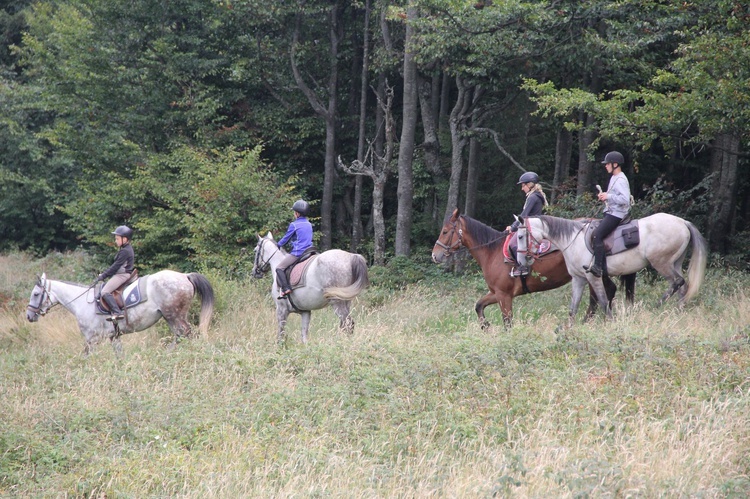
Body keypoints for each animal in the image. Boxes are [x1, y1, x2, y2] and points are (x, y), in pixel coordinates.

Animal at [26, 270, 214, 356]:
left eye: (35, 294)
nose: (29, 316)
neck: (82, 303)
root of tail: (184, 275)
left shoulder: (92, 339)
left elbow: (85, 357)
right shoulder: (113, 337)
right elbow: (119, 355)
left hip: (175, 316)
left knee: (187, 334)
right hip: (171, 318)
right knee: (181, 336)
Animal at [428, 209, 636, 330]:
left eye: (445, 231)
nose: (435, 255)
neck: (491, 252)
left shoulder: (504, 296)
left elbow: (507, 323)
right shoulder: (496, 293)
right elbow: (479, 306)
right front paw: (485, 326)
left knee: (601, 295)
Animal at [520, 214, 708, 324]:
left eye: (521, 236)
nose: (522, 261)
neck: (572, 240)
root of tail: (682, 222)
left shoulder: (593, 277)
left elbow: (603, 301)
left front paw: (610, 321)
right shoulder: (578, 279)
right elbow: (573, 306)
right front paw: (565, 328)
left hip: (661, 263)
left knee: (677, 282)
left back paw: (656, 307)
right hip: (675, 262)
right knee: (683, 286)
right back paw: (678, 311)